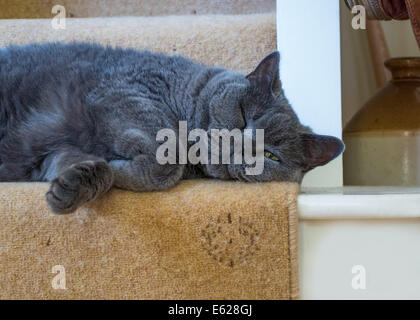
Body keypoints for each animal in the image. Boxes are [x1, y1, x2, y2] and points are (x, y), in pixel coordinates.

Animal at [0, 42, 344, 212]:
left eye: (271, 156)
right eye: (244, 115)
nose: (242, 146)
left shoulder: (52, 153)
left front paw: (77, 185)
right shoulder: (124, 92)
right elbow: (167, 159)